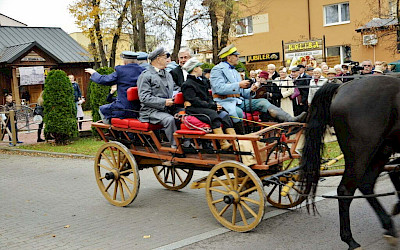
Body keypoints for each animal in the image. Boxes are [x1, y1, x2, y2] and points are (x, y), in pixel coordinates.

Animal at [298, 75, 400, 249]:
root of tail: (341, 87)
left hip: (381, 150)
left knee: (366, 184)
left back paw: (388, 226)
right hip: (361, 154)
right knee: (345, 191)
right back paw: (350, 239)